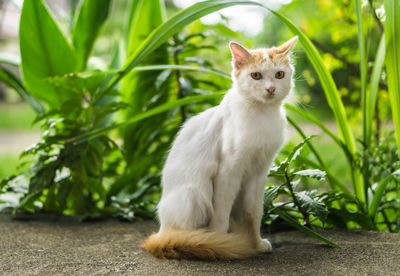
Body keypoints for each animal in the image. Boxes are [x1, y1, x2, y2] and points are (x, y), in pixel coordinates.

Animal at [142, 36, 298, 258]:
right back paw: (199, 241)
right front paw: (221, 242)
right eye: (256, 76)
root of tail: (161, 232)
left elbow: (254, 213)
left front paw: (256, 243)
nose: (270, 89)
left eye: (279, 75)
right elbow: (221, 213)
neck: (261, 114)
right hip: (194, 194)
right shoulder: (228, 172)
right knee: (182, 233)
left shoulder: (259, 173)